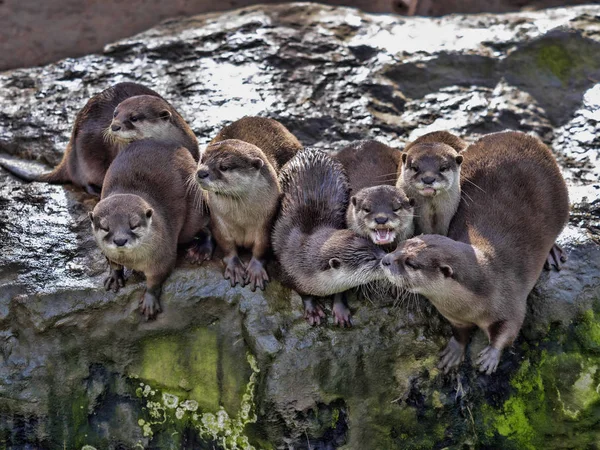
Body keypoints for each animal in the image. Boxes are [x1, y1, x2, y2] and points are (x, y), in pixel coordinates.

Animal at [0, 82, 200, 195]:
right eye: (115, 114)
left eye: (134, 118)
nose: (114, 126)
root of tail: (69, 155)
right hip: (82, 157)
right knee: (81, 180)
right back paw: (94, 190)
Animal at [89, 139, 211, 318]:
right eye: (105, 227)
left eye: (133, 225)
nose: (120, 240)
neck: (132, 261)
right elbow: (113, 262)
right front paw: (115, 276)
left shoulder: (163, 254)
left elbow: (157, 277)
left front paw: (149, 300)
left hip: (193, 212)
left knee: (205, 227)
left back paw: (200, 250)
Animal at [274, 149, 386, 326]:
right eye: (370, 259)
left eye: (377, 247)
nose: (387, 258)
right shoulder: (286, 272)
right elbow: (301, 292)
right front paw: (312, 309)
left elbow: (341, 292)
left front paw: (340, 309)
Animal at [382, 132, 568, 374]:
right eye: (399, 247)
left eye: (411, 263)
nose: (385, 260)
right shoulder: (455, 317)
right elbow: (459, 332)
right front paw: (454, 351)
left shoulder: (511, 300)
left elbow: (510, 330)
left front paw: (491, 356)